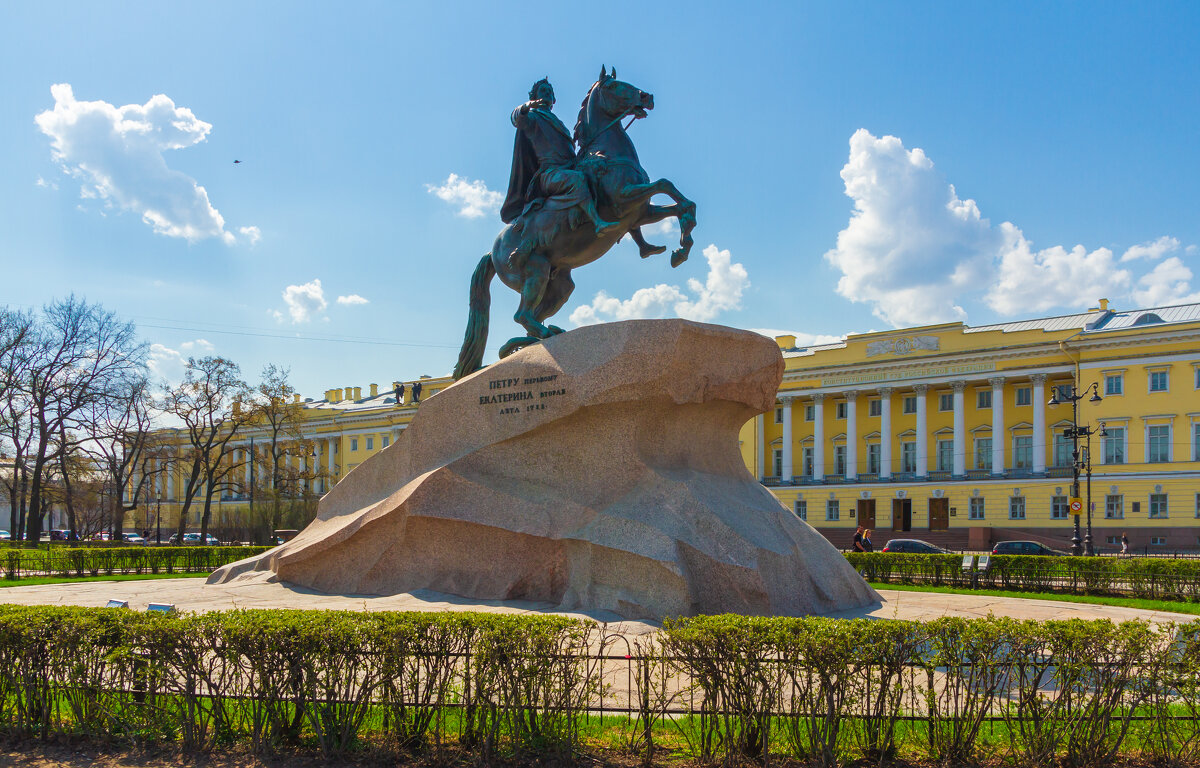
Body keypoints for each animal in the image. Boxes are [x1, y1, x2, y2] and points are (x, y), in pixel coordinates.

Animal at [453, 67, 700, 379]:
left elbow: (681, 205)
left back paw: (533, 339)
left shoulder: (640, 212)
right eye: (615, 86)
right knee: (522, 314)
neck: (607, 153)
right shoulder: (624, 199)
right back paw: (542, 336)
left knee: (530, 319)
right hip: (535, 270)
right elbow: (665, 184)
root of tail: (492, 251)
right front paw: (530, 107)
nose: (647, 96)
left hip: (558, 286)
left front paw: (681, 249)